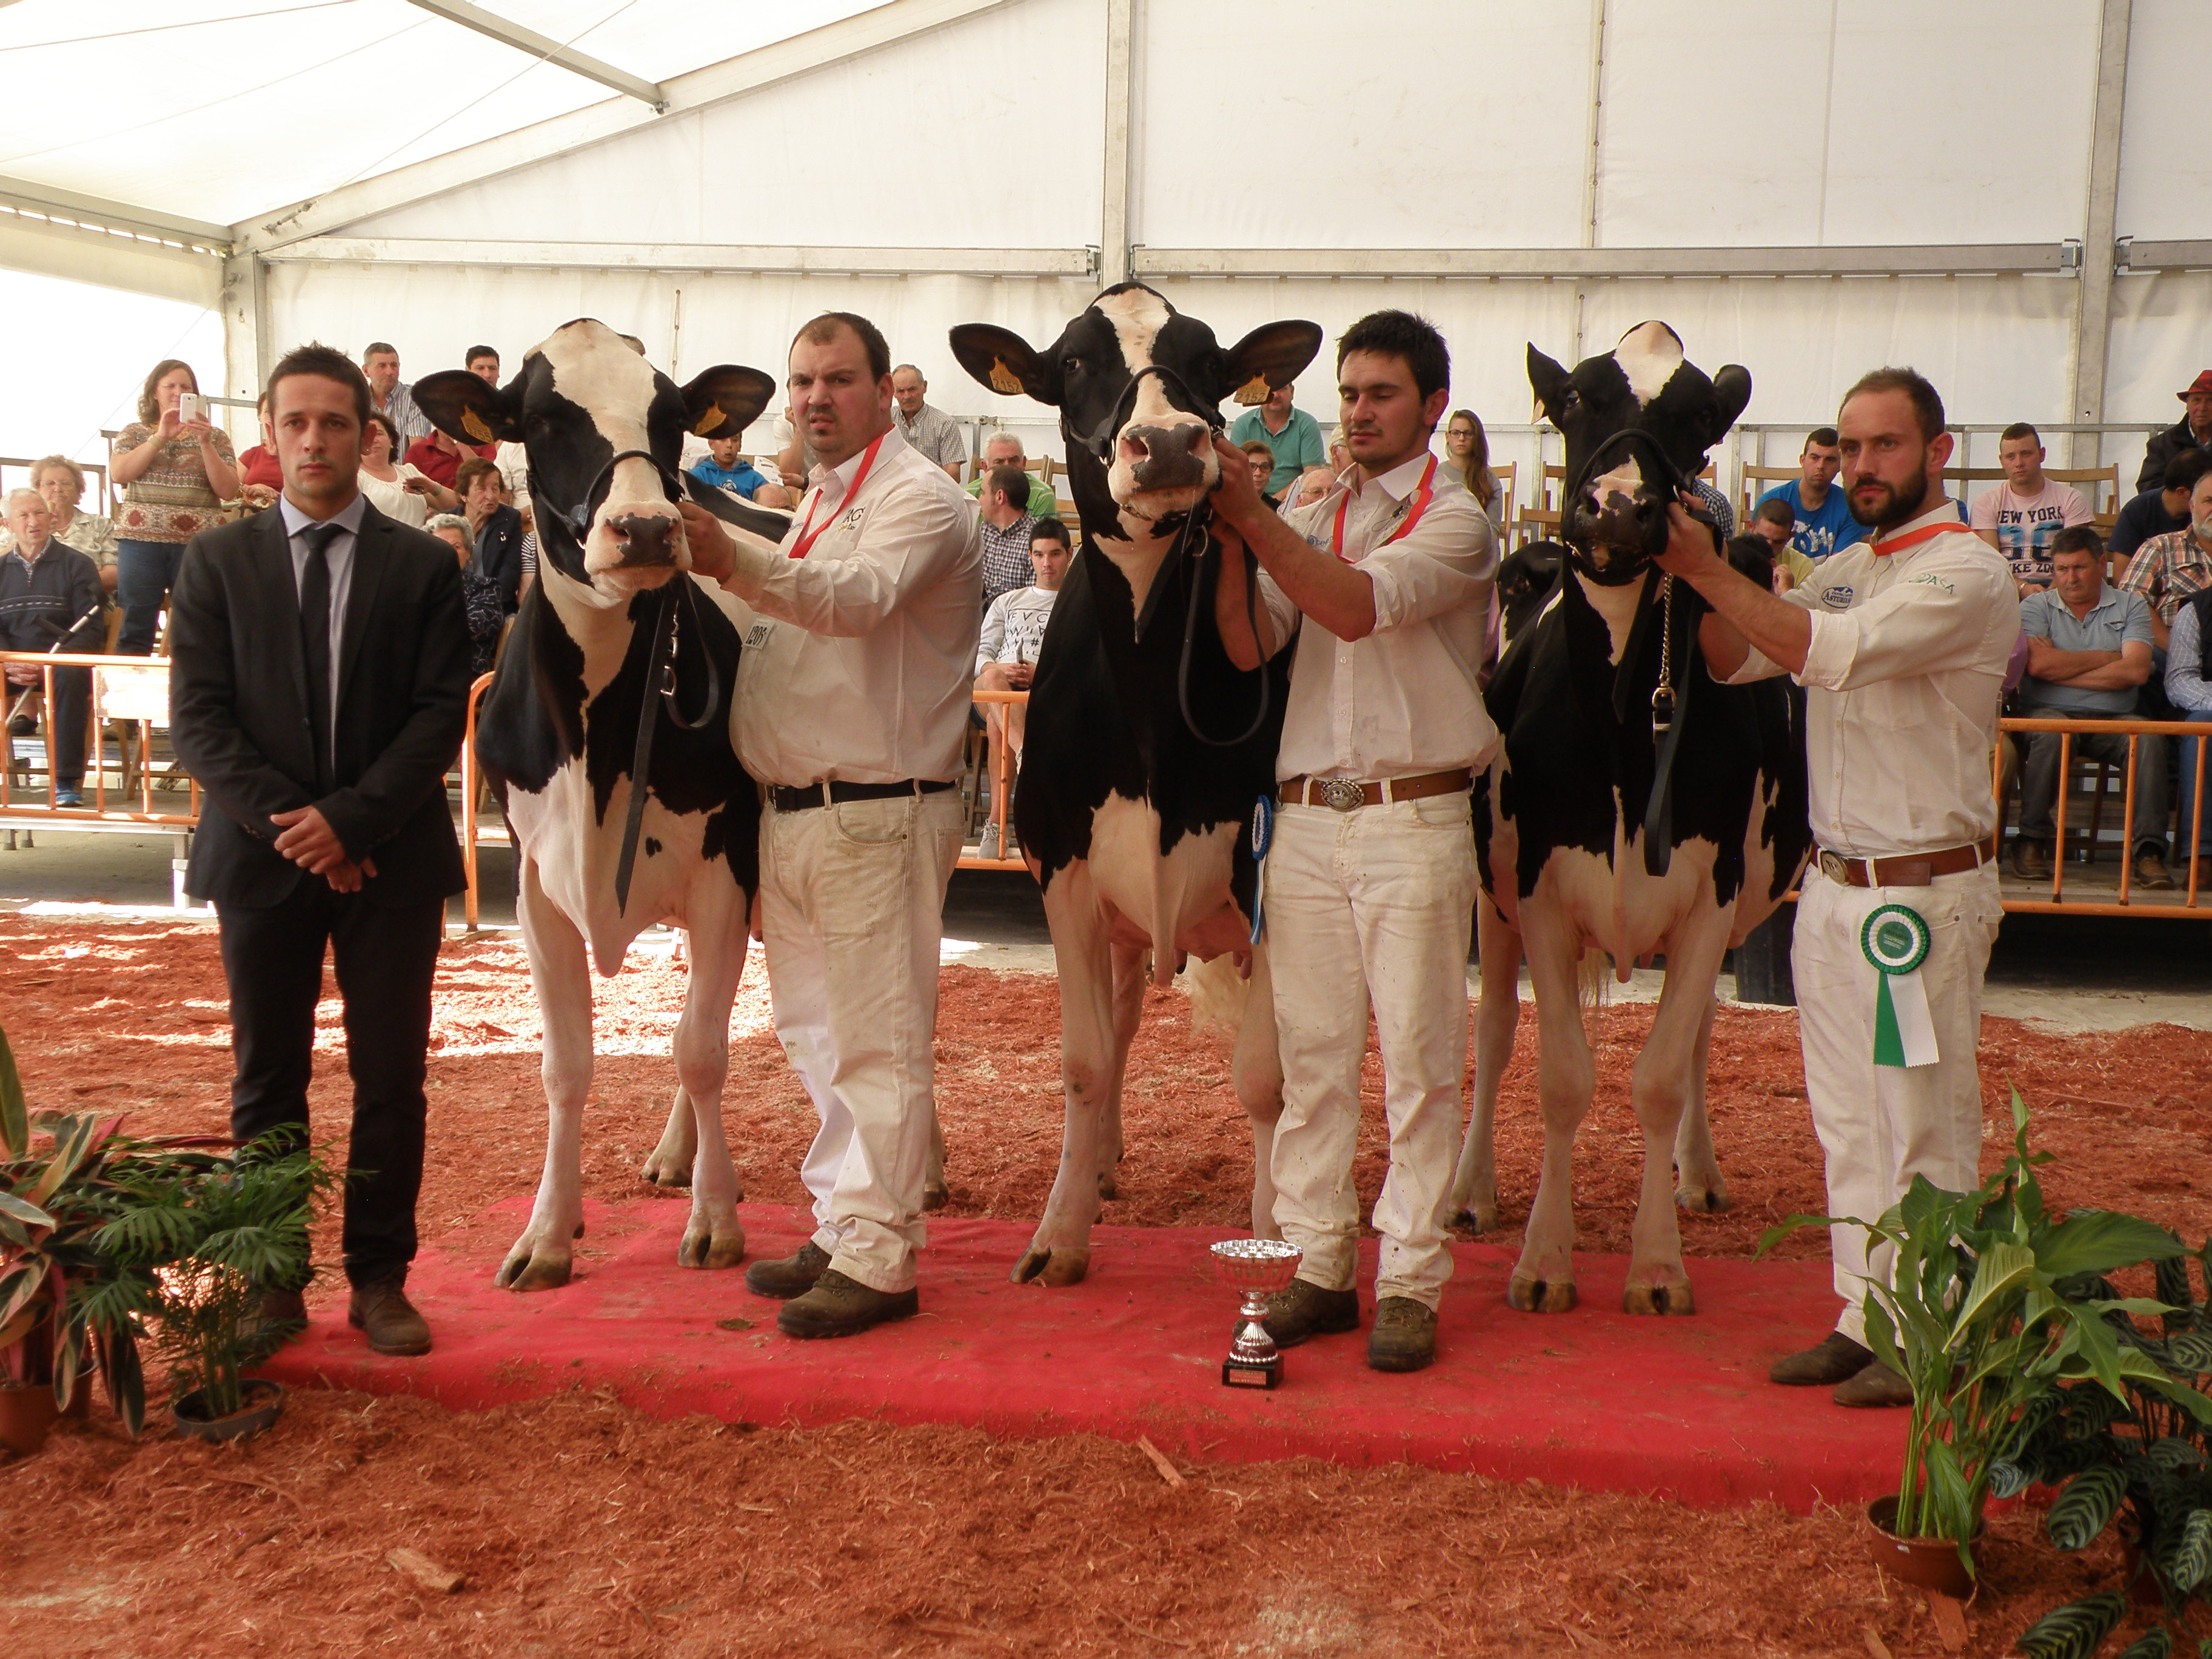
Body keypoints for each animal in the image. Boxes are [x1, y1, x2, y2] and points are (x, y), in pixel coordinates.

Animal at [415, 318, 796, 1292]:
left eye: (669, 419)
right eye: (544, 420)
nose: (650, 526)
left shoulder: (724, 873)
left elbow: (702, 1050)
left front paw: (715, 1221)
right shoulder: (537, 891)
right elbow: (567, 1066)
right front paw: (549, 1233)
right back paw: (674, 1153)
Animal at [947, 292, 1309, 1292]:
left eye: (1209, 360)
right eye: (1074, 362)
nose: (1172, 442)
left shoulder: (1269, 881)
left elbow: (1267, 1079)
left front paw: (1274, 1225)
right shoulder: (1064, 871)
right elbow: (1084, 1060)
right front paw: (1060, 1232)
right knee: (1121, 1026)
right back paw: (1102, 1163)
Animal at [1451, 320, 1814, 1309]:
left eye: (1696, 417)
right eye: (1575, 398)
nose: (1617, 507)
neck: (1622, 736)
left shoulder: (1709, 899)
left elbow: (1656, 1079)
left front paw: (1655, 1267)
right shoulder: (1537, 893)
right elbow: (1561, 1078)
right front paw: (1543, 1260)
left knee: (1694, 1046)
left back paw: (1698, 1174)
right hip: (1489, 898)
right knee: (1493, 1033)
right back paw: (1469, 1192)